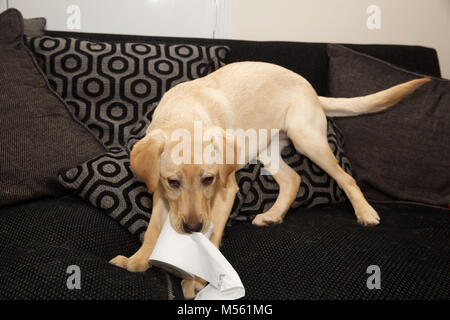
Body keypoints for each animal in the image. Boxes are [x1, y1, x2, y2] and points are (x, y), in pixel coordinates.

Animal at [109, 60, 428, 298]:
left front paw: (197, 280)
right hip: (267, 149)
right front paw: (137, 261)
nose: (192, 227)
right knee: (293, 179)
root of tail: (311, 89)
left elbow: (212, 239)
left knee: (345, 178)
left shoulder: (227, 190)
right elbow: (152, 231)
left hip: (306, 139)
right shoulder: (162, 194)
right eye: (173, 182)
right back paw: (273, 214)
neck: (183, 115)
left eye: (209, 180)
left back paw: (365, 212)